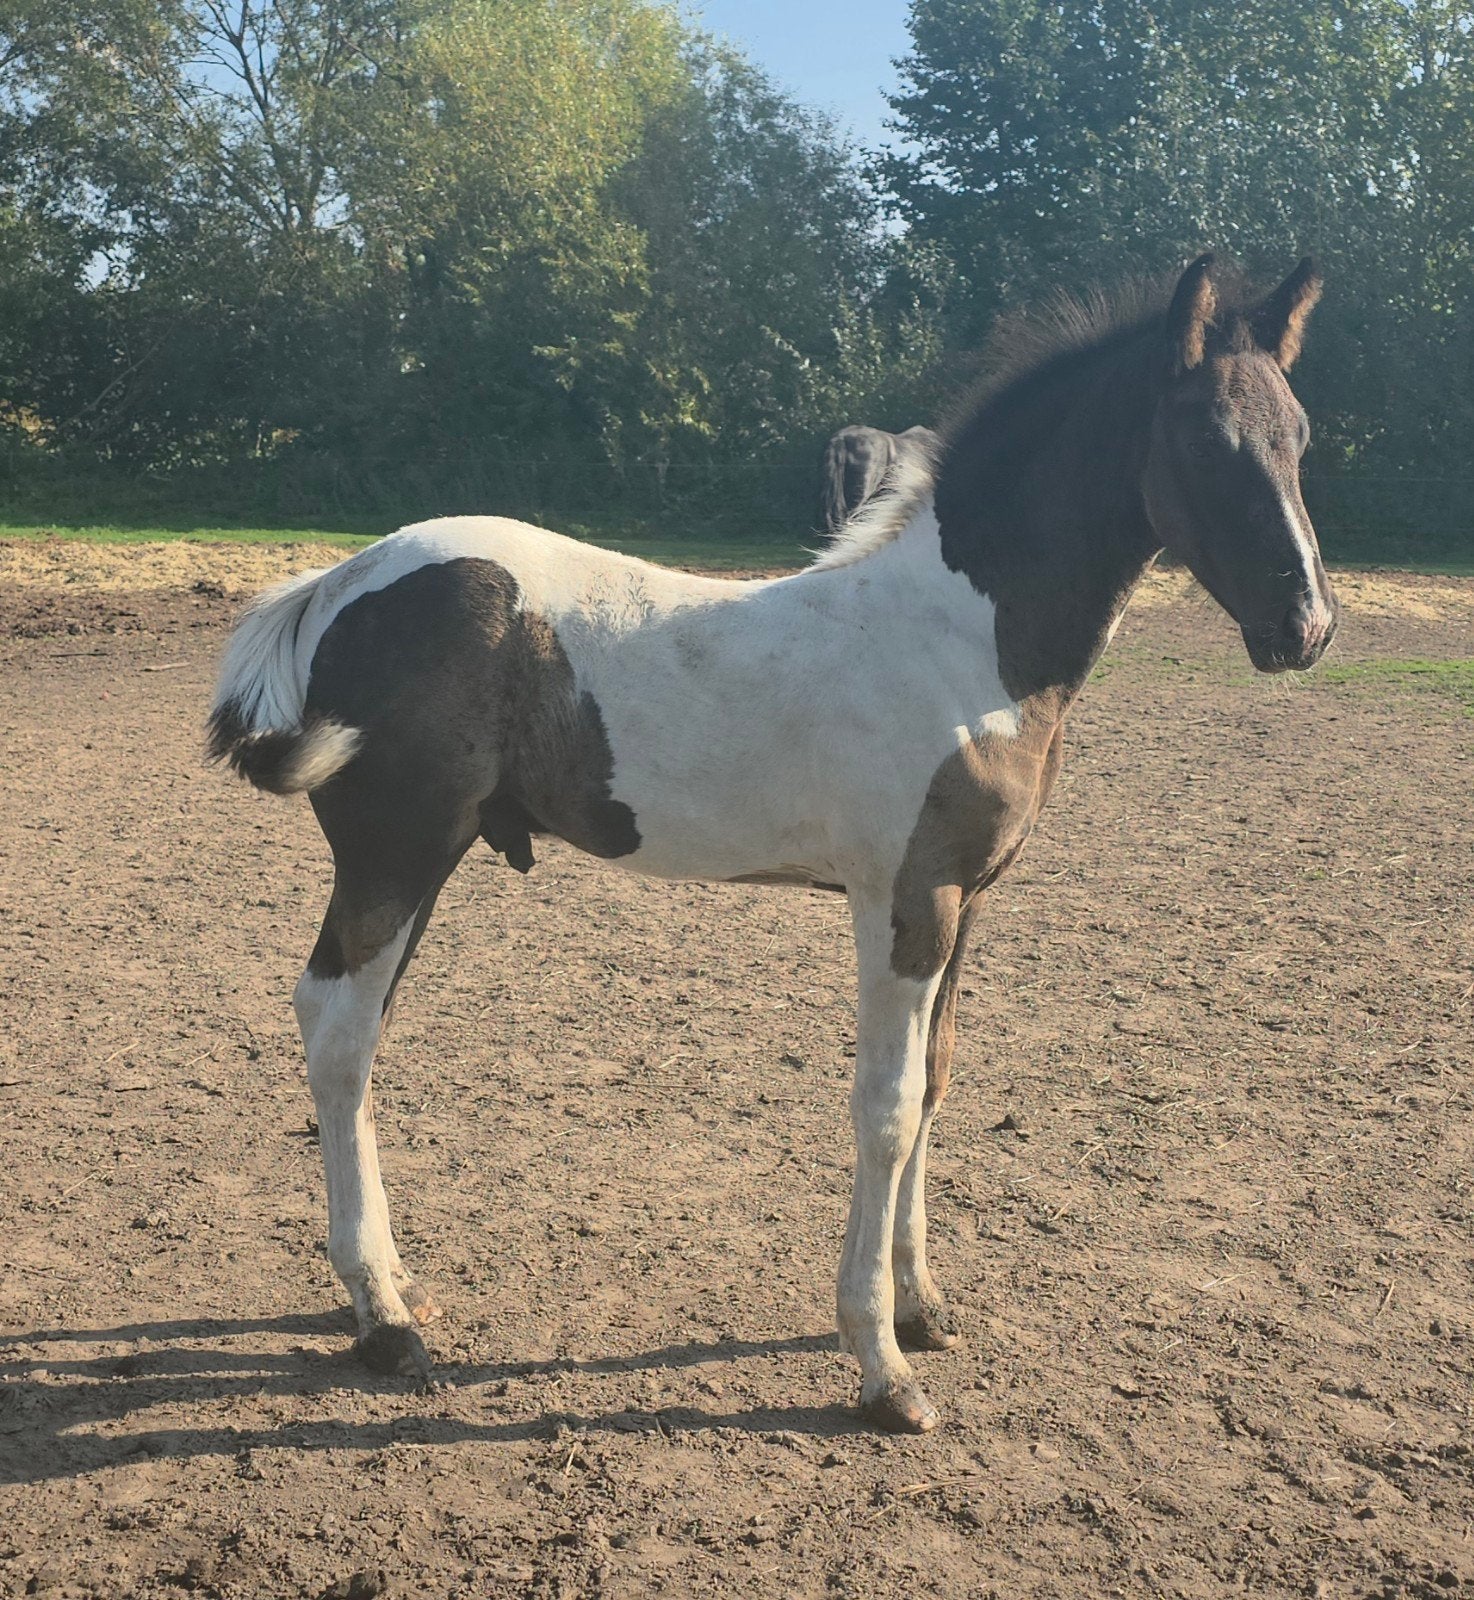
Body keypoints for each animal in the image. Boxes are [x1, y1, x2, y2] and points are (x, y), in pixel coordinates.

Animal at [209, 254, 1337, 1433]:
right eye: (1204, 437)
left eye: (1299, 435)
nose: (1304, 628)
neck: (961, 638)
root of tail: (331, 587)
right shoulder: (903, 899)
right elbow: (884, 1109)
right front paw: (882, 1367)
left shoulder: (966, 899)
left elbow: (934, 1084)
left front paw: (923, 1307)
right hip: (395, 850)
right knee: (338, 1032)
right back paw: (382, 1321)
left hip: (431, 858)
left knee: (359, 1028)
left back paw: (392, 1286)